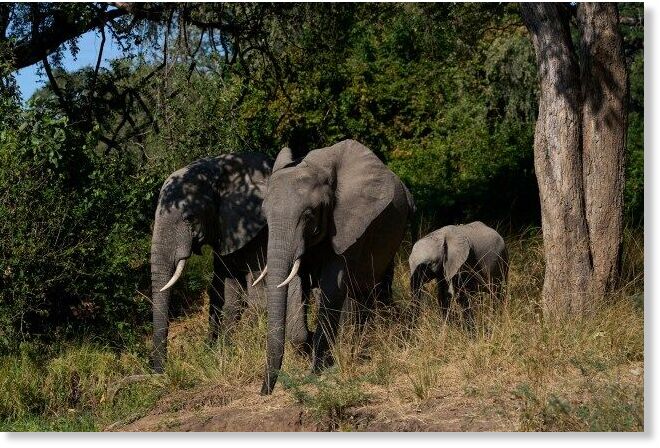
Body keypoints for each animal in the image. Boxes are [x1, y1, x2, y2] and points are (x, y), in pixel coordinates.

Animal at [150, 152, 272, 373]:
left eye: (190, 218)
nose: (159, 372)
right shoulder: (227, 231)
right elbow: (227, 290)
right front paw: (221, 348)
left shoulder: (259, 231)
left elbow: (256, 289)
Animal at [255, 139, 415, 394]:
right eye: (265, 215)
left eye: (309, 215)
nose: (264, 392)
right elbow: (296, 283)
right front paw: (309, 345)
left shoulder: (348, 222)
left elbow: (333, 285)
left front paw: (317, 369)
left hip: (394, 232)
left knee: (377, 284)